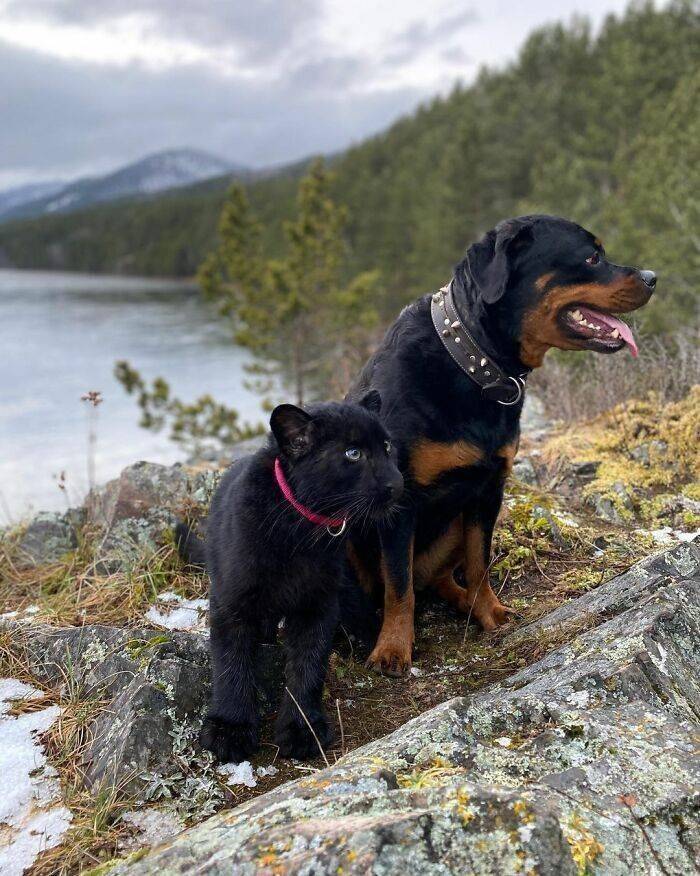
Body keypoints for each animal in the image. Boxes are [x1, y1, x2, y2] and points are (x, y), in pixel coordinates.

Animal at [348, 214, 660, 676]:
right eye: (591, 257)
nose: (653, 277)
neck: (473, 361)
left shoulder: (488, 490)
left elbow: (480, 563)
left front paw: (489, 613)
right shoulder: (399, 500)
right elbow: (398, 585)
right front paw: (393, 647)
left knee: (437, 578)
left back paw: (461, 601)